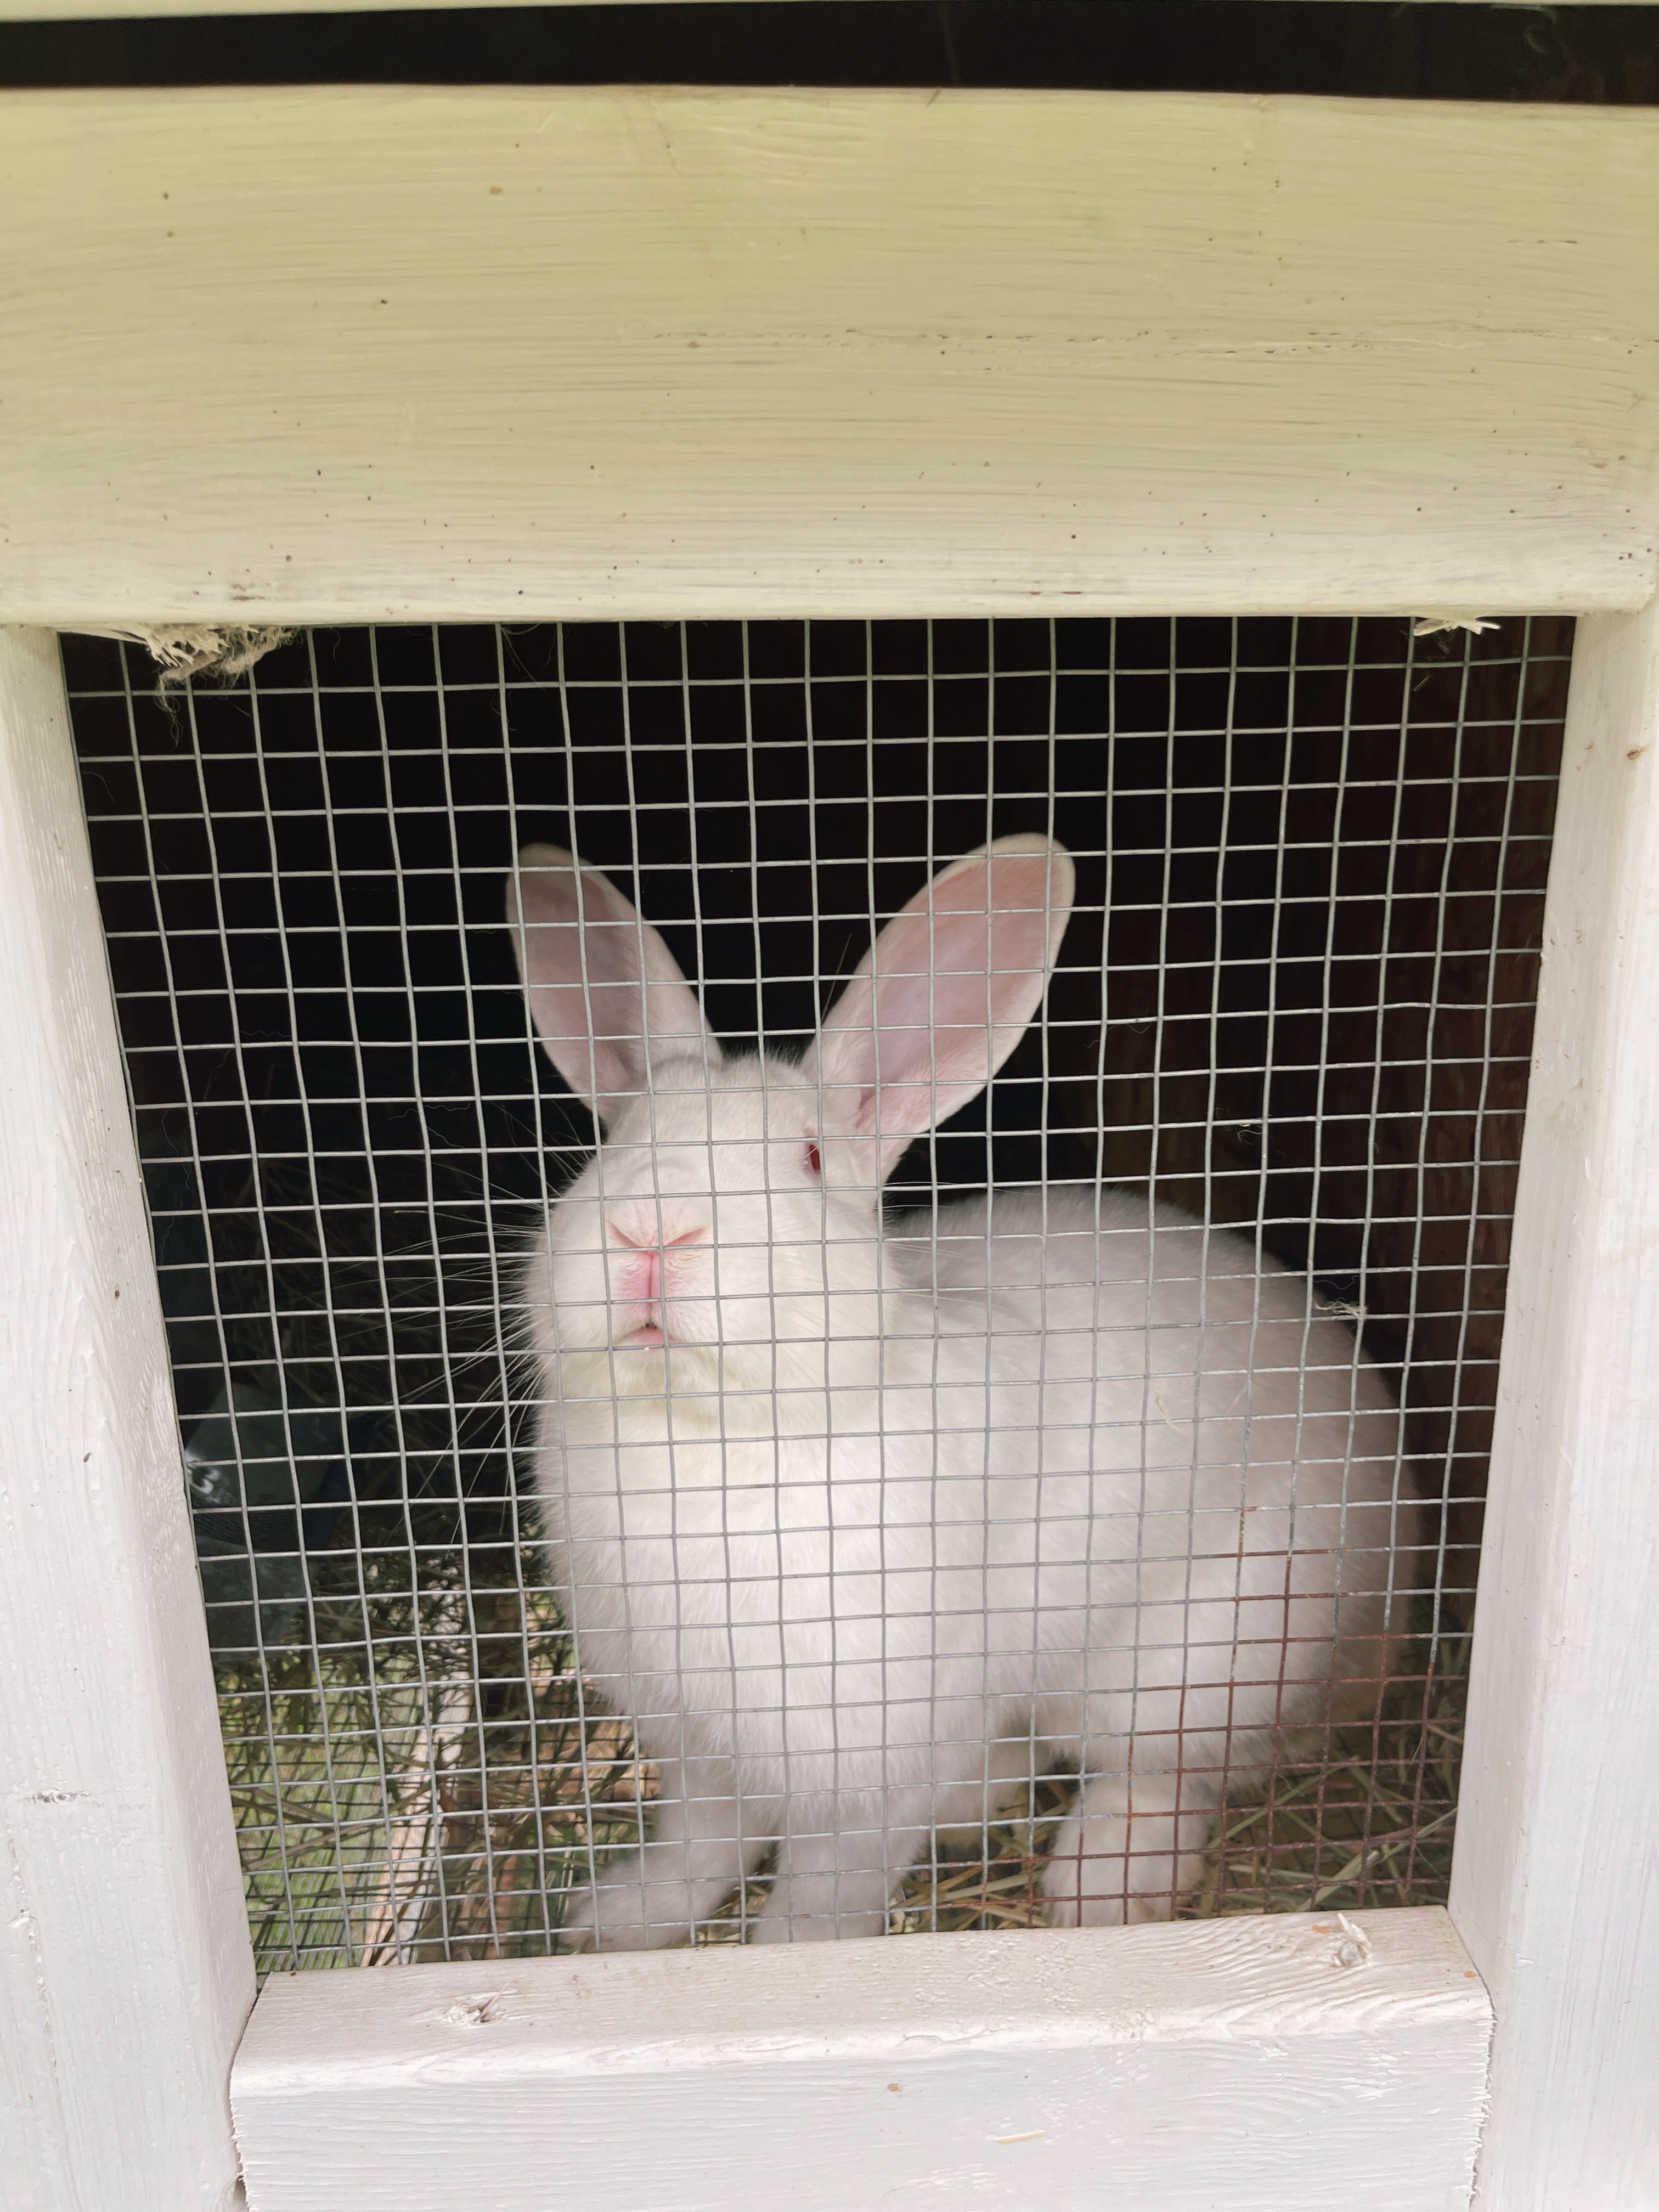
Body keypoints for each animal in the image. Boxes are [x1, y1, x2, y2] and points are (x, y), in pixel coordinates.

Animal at [504, 835, 1415, 1951]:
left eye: (808, 1159)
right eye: (612, 1146)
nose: (650, 1230)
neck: (704, 1428)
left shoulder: (873, 1752)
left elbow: (824, 1888)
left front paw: (788, 1959)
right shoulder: (696, 1737)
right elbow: (699, 1842)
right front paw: (618, 1921)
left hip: (1197, 1658)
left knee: (1170, 1775)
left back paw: (1100, 1884)